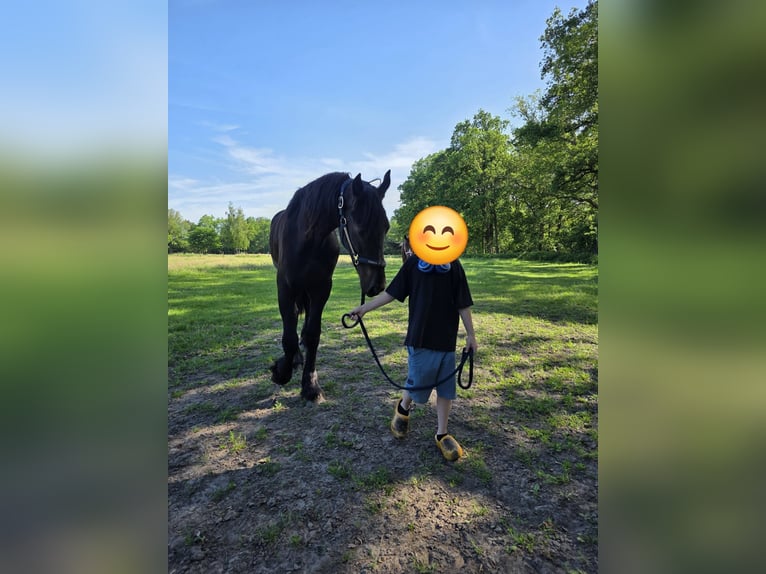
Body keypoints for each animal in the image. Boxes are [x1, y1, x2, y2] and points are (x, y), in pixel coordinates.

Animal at [269, 170, 391, 401]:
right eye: (359, 226)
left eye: (386, 226)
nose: (377, 285)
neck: (307, 238)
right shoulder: (285, 288)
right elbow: (289, 336)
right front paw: (281, 372)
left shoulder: (321, 288)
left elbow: (312, 334)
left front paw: (310, 385)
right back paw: (295, 358)